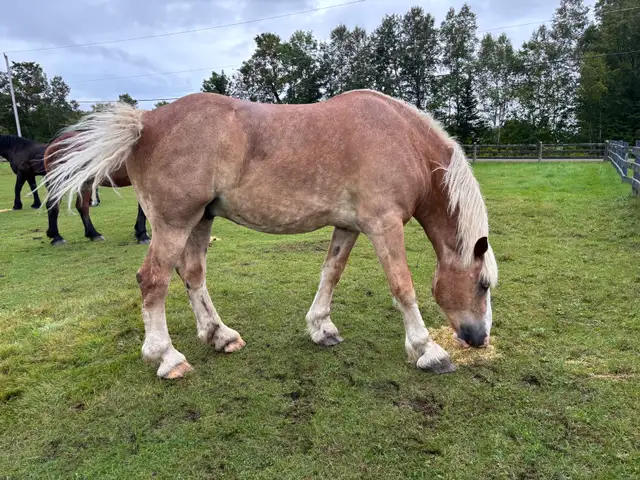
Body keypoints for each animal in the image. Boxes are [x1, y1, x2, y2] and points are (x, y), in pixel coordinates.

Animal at [43, 89, 499, 380]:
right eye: (482, 283)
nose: (478, 338)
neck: (402, 139)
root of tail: (146, 122)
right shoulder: (383, 226)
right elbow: (403, 287)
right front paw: (427, 350)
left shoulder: (349, 226)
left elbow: (330, 273)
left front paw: (321, 328)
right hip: (173, 223)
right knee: (153, 280)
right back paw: (167, 358)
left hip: (200, 220)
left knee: (192, 275)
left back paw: (219, 335)